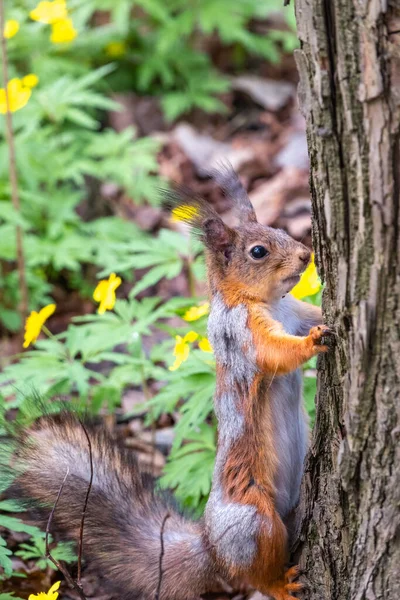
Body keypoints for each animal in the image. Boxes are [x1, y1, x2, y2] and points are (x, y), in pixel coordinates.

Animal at [4, 168, 332, 600]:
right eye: (258, 251)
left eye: (279, 229)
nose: (306, 255)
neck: (269, 302)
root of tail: (211, 547)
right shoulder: (239, 333)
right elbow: (275, 352)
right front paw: (314, 341)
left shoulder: (294, 311)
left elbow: (310, 315)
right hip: (252, 523)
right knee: (254, 572)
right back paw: (280, 583)